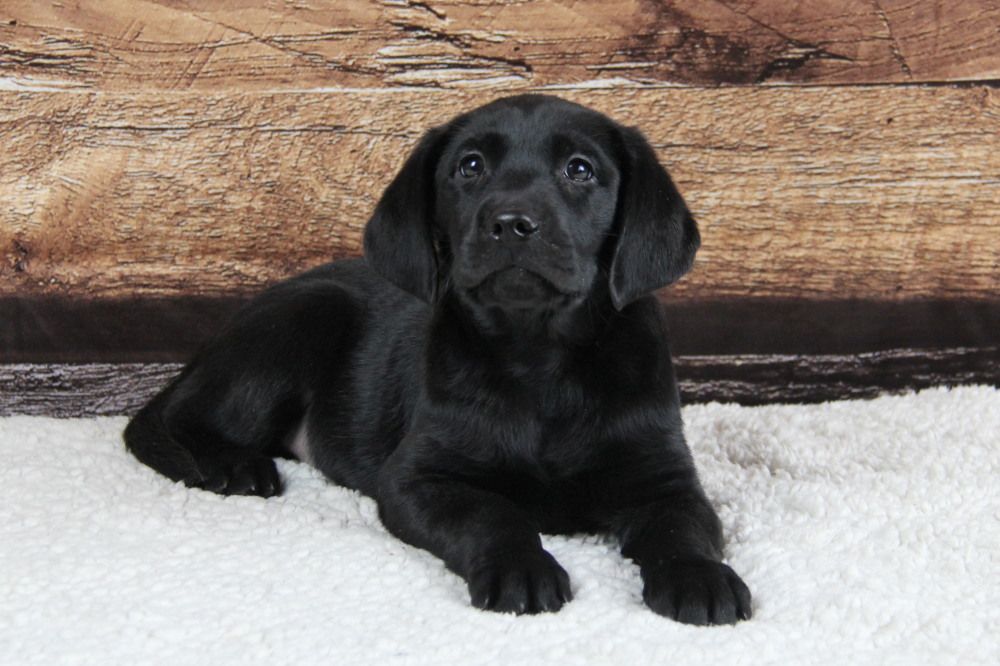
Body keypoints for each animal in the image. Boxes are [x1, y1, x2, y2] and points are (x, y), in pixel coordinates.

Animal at [125, 93, 752, 624]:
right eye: (470, 167)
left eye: (580, 169)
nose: (511, 223)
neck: (539, 355)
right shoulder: (417, 478)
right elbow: (494, 514)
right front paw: (521, 569)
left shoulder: (665, 478)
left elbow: (682, 530)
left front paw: (700, 578)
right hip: (304, 315)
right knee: (176, 420)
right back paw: (234, 465)